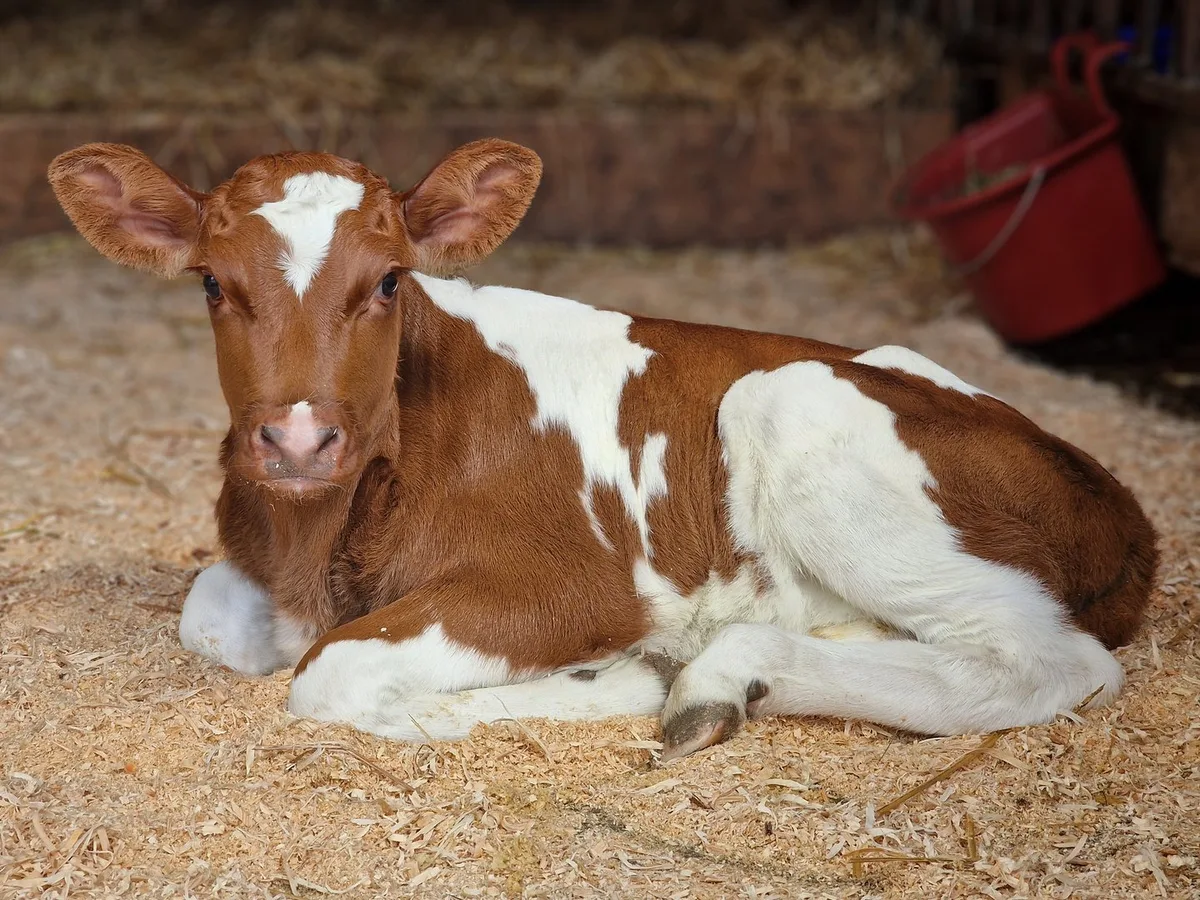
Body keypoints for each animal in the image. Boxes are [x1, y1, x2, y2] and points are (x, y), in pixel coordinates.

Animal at [47, 139, 1158, 761]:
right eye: (212, 284)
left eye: (390, 280)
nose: (298, 436)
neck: (318, 545)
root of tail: (1116, 500)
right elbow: (210, 621)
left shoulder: (573, 584)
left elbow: (327, 673)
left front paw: (607, 680)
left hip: (794, 400)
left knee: (1048, 663)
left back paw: (712, 679)